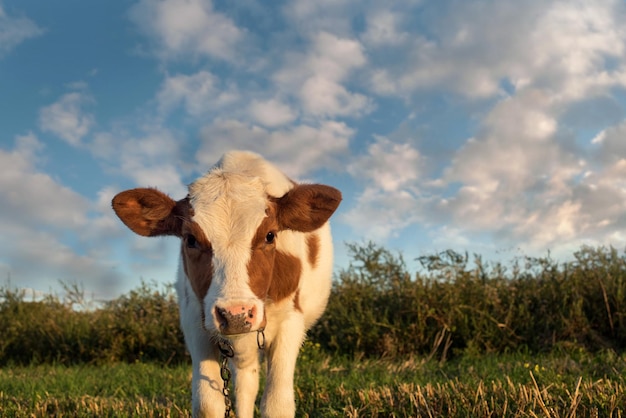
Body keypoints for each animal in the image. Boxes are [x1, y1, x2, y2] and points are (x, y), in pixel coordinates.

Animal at [109, 151, 338, 418]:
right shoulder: (194, 321)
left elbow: (276, 405)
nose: (235, 314)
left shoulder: (291, 321)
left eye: (270, 235)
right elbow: (208, 404)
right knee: (245, 384)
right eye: (190, 239)